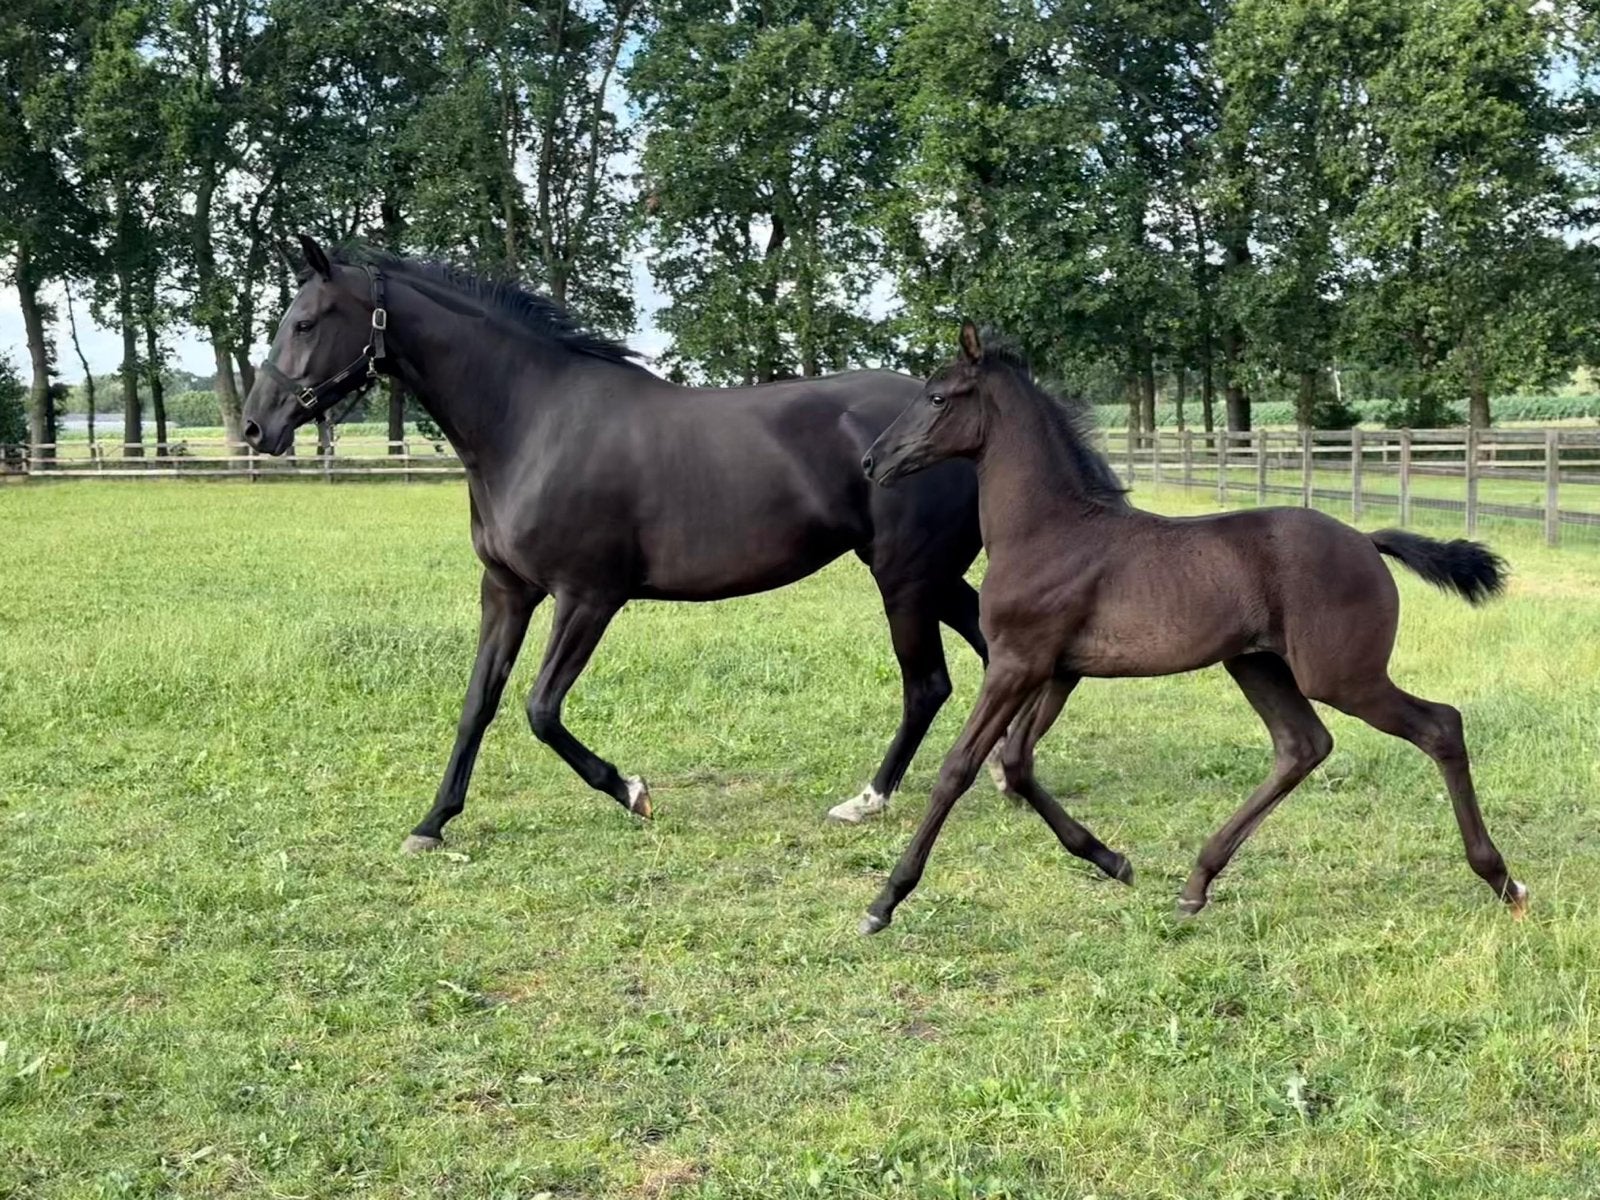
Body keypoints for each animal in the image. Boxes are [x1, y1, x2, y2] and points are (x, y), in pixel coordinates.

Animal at [242, 236, 1057, 847]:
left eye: (307, 321)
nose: (256, 426)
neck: (532, 422)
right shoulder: (506, 590)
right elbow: (479, 702)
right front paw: (432, 823)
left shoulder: (588, 597)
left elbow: (541, 709)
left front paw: (632, 791)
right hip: (929, 575)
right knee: (991, 654)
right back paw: (1005, 773)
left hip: (904, 577)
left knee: (929, 684)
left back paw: (870, 798)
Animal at [855, 322, 1527, 934]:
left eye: (937, 397)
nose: (871, 462)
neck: (1049, 531)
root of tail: (1366, 539)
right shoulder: (1058, 671)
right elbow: (1018, 763)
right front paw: (1112, 861)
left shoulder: (1017, 663)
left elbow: (958, 768)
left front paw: (885, 900)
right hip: (1256, 663)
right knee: (1302, 745)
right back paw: (1196, 883)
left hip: (1341, 675)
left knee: (1440, 726)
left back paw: (1503, 880)